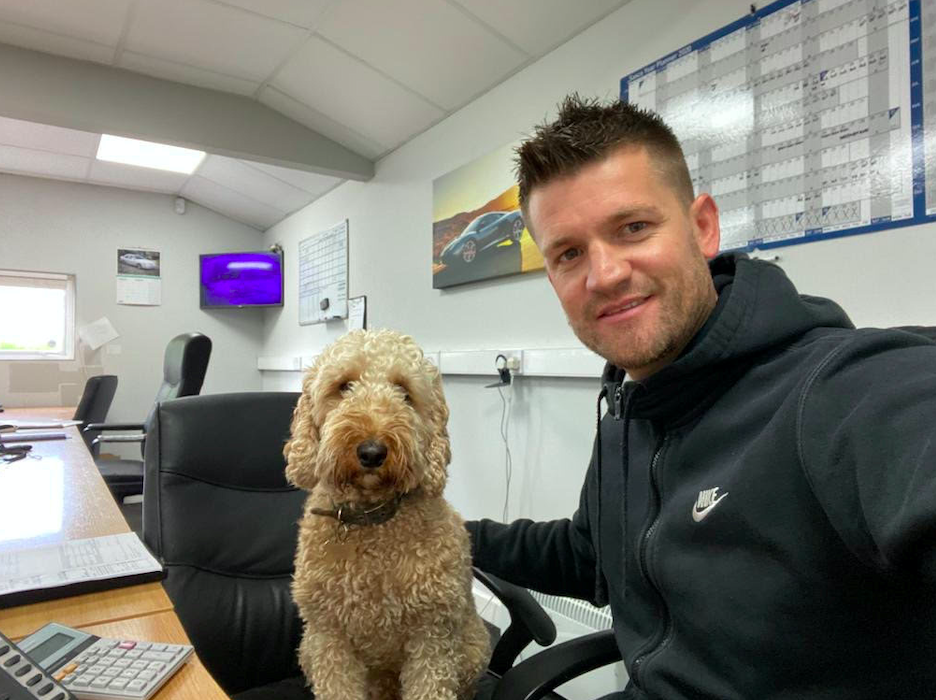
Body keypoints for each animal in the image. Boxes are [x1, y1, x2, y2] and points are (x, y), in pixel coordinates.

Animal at [284, 330, 490, 700]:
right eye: (344, 386)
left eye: (405, 392)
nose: (372, 451)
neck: (372, 522)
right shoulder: (329, 637)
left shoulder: (433, 639)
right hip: (308, 649)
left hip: (473, 648)